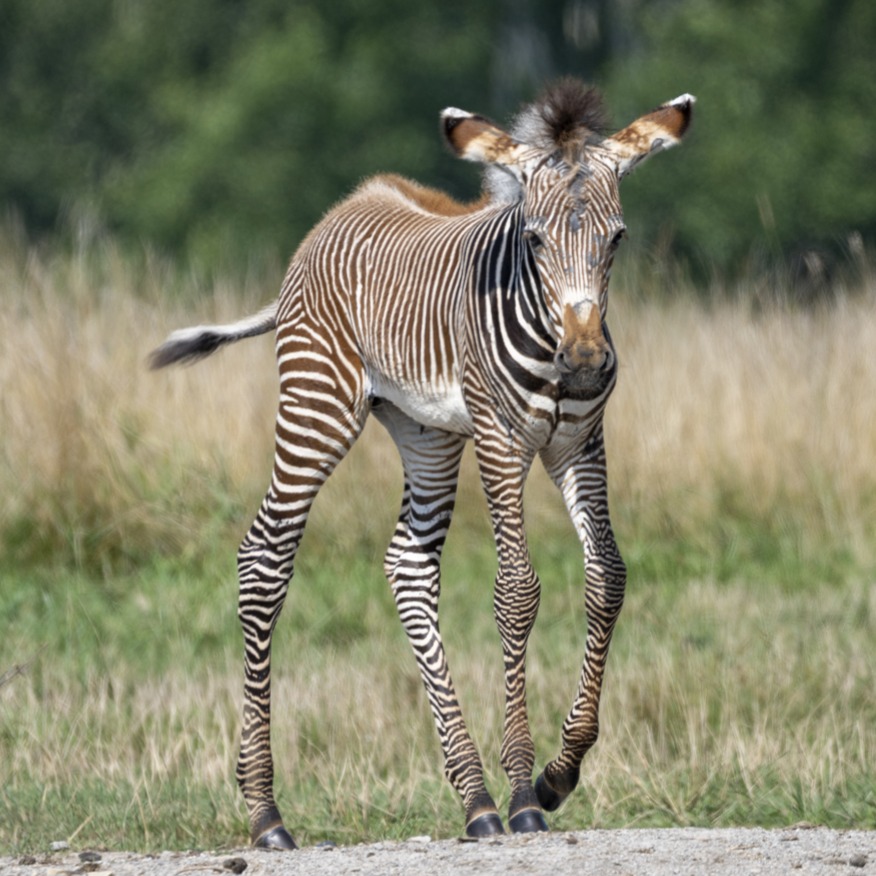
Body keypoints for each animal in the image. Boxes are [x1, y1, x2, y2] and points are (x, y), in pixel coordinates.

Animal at [150, 78, 693, 848]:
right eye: (534, 239)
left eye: (616, 238)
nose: (586, 362)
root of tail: (343, 207)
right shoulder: (500, 438)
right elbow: (517, 592)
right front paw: (526, 790)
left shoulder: (581, 443)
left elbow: (608, 579)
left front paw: (558, 774)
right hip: (317, 409)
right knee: (264, 557)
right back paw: (265, 812)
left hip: (425, 432)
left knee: (407, 565)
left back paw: (475, 800)